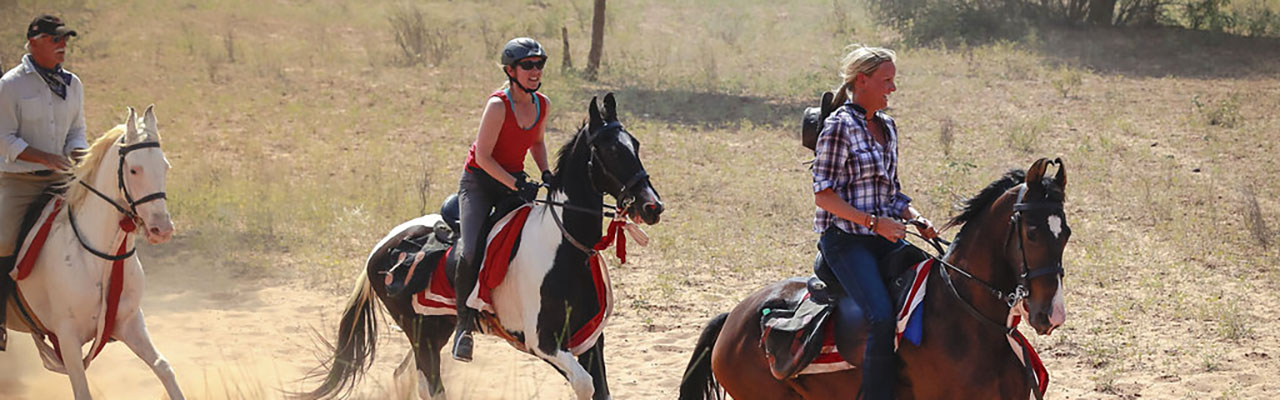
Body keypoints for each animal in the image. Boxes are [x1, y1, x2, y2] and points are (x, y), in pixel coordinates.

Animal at [3, 104, 180, 397]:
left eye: (165, 166)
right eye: (134, 170)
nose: (162, 229)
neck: (100, 257)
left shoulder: (130, 323)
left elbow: (163, 367)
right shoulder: (67, 337)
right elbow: (82, 390)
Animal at [298, 94, 660, 400]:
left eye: (636, 144)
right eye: (611, 151)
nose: (652, 206)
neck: (566, 251)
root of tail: (382, 246)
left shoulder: (590, 341)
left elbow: (600, 391)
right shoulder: (542, 343)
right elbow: (585, 385)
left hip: (435, 328)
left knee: (408, 376)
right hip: (420, 334)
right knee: (430, 384)